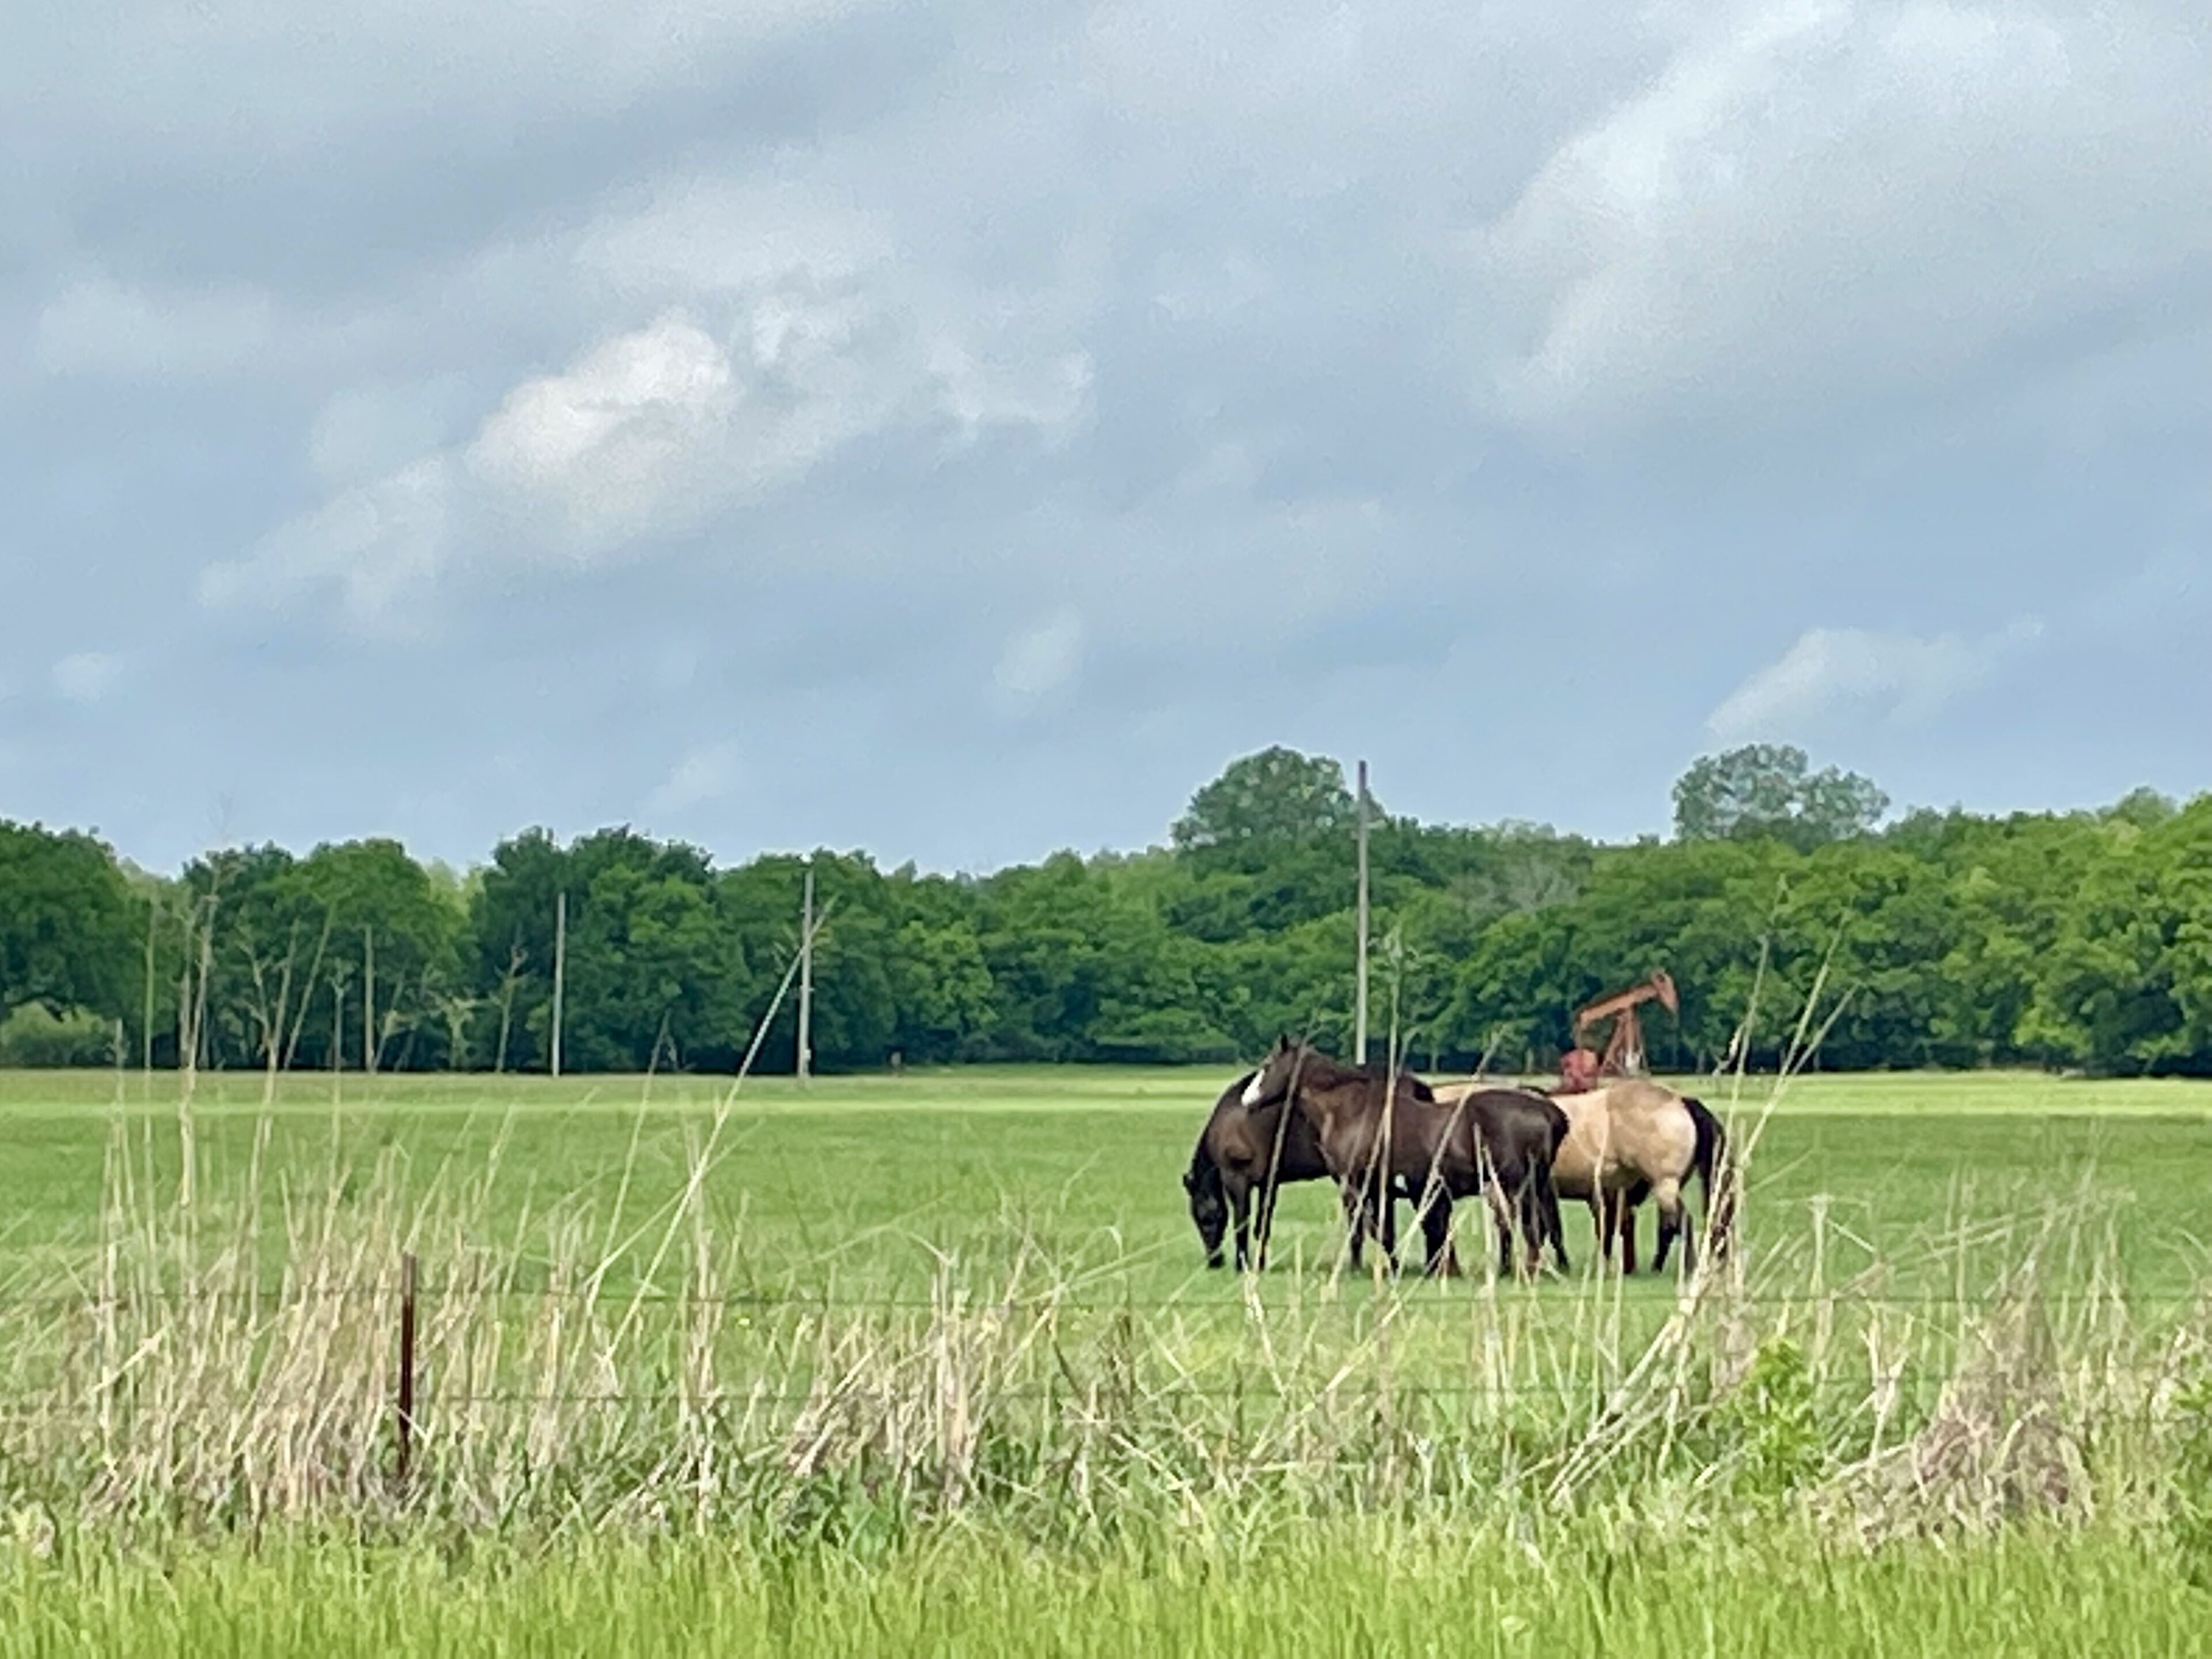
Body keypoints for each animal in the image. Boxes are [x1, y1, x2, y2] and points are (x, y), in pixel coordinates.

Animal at [1242, 1039, 1570, 1278]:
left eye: (1267, 1066)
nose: (1247, 1101)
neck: (1353, 1113)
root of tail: (1546, 1110)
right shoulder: (1383, 1190)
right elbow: (1385, 1232)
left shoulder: (1357, 1186)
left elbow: (1365, 1231)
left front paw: (1367, 1269)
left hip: (1516, 1187)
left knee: (1529, 1227)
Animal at [1544, 1079, 1733, 1273]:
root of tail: (1681, 1101)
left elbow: (1554, 1229)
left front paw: (1562, 1266)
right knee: (1668, 1227)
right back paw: (1657, 1267)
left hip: (1664, 1185)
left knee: (1681, 1223)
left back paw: (1687, 1266)